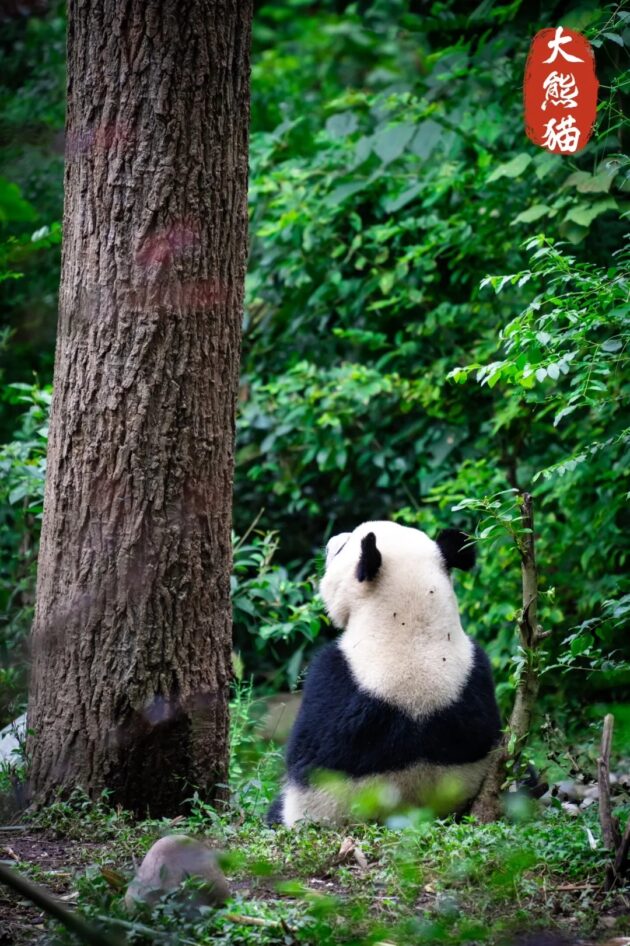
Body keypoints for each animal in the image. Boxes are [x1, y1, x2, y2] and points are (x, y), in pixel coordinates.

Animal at [267, 520, 502, 827]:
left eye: (344, 547)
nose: (331, 542)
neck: (411, 628)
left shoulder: (334, 681)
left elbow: (305, 764)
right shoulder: (478, 670)